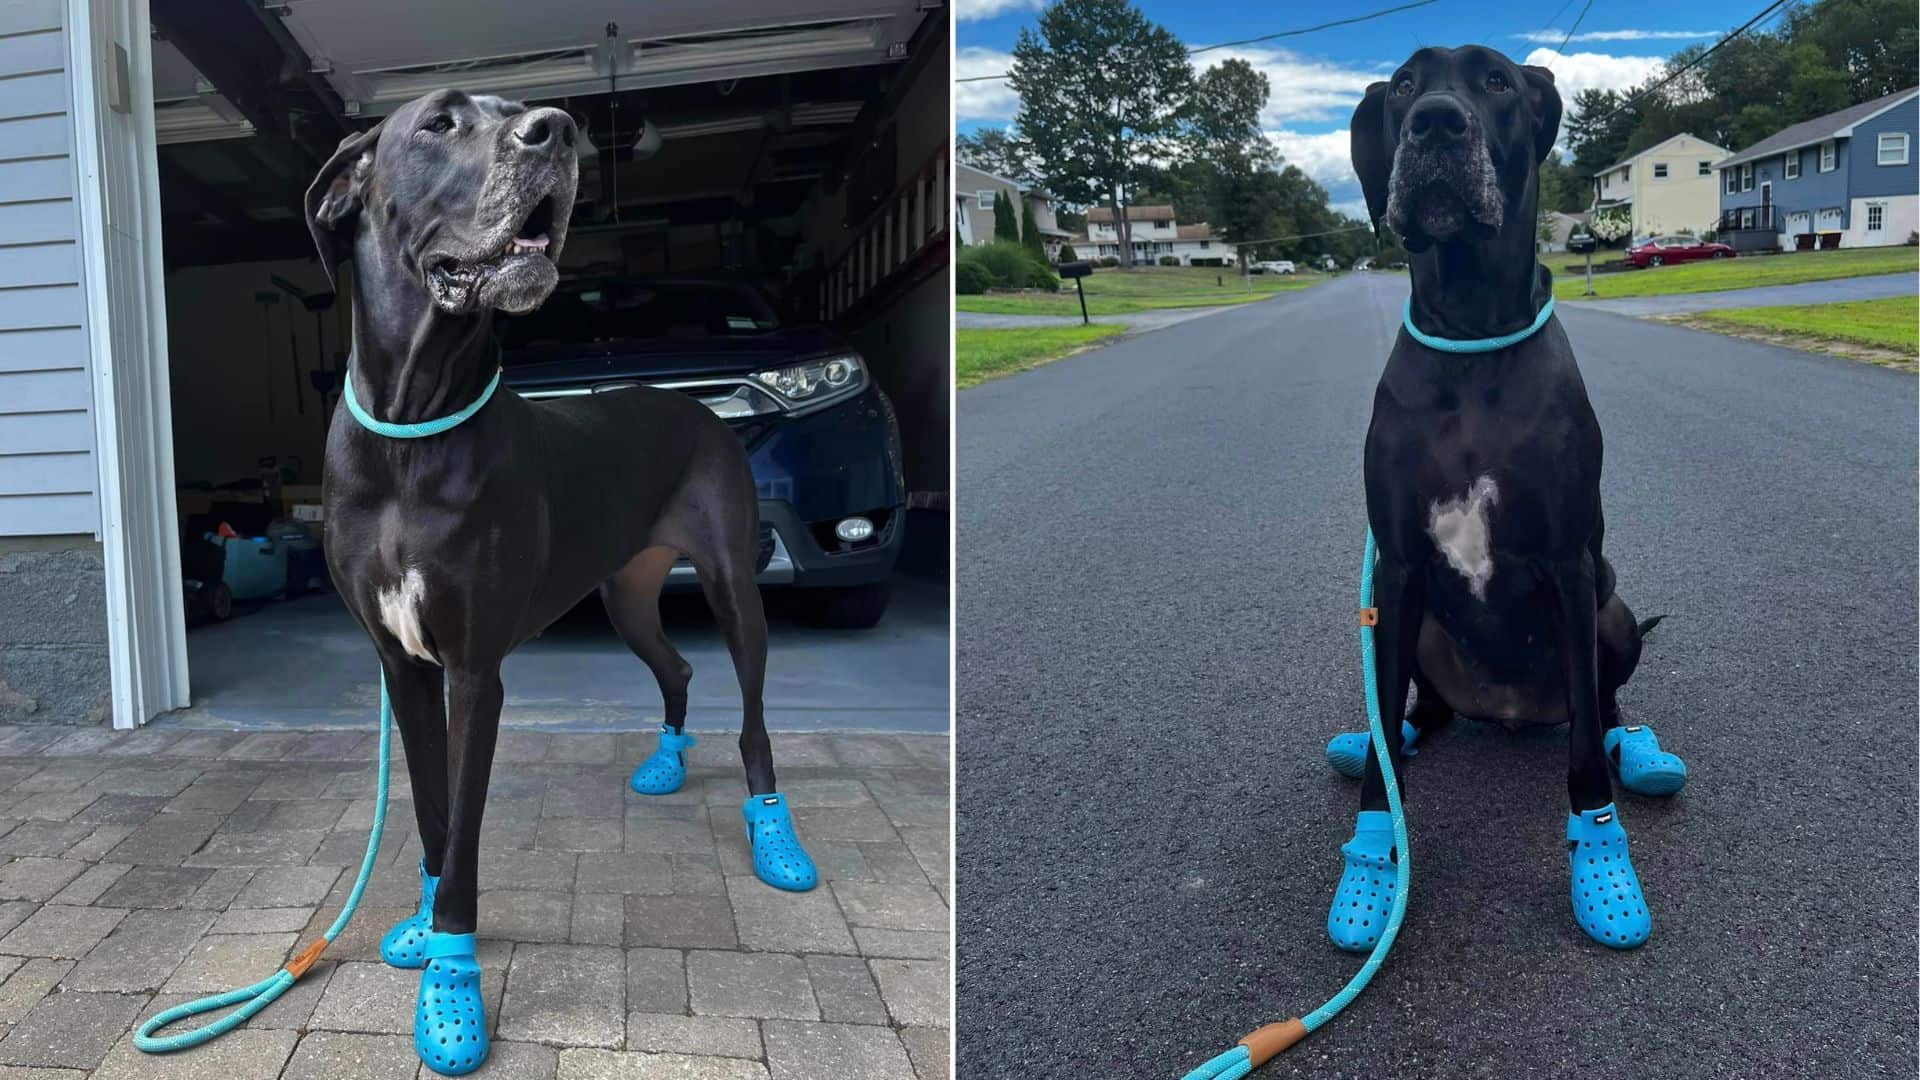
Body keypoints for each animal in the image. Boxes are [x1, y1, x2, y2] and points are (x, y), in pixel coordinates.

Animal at [303, 88, 814, 1068]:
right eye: (439, 123)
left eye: (515, 110)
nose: (558, 130)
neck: (409, 430)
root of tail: (691, 407)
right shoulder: (403, 666)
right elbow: (431, 813)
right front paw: (423, 927)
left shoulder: (476, 672)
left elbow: (465, 831)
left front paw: (452, 985)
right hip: (626, 595)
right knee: (676, 665)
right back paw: (664, 761)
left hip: (734, 584)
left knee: (755, 718)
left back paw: (775, 837)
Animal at [1328, 44, 1689, 949]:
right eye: (1403, 87)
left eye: (1495, 81)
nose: (1435, 125)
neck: (1469, 333)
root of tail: (1511, 711)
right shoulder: (1396, 568)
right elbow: (1385, 743)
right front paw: (1374, 861)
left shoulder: (1568, 564)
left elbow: (1588, 749)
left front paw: (1602, 866)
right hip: (1415, 626)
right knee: (1417, 709)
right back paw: (1392, 733)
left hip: (1608, 611)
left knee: (1607, 707)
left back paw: (1638, 750)